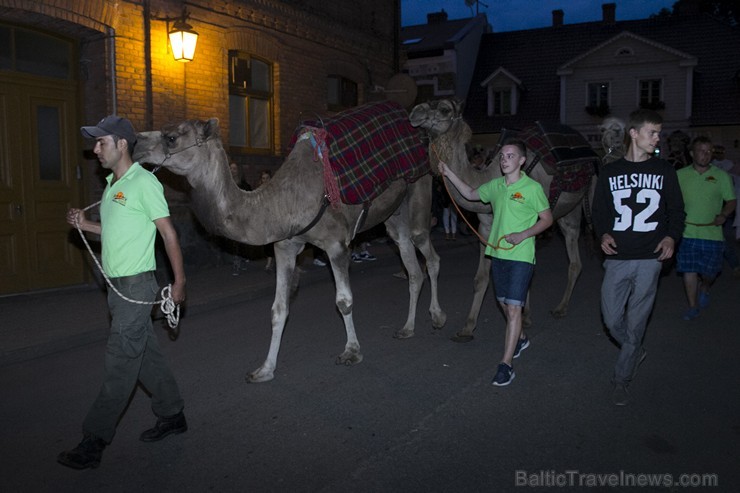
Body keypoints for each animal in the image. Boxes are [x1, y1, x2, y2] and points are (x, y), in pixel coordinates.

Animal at [131, 102, 446, 382]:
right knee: (409, 260)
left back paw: (437, 317)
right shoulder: (285, 246)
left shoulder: (336, 244)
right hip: (394, 212)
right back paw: (407, 327)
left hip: (420, 184)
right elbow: (278, 309)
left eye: (171, 137)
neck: (282, 201)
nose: (135, 144)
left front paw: (352, 352)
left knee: (428, 251)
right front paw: (264, 370)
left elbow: (343, 301)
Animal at [408, 98, 600, 340]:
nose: (415, 112)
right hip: (567, 211)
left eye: (444, 109)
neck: (489, 176)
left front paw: (523, 318)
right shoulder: (485, 226)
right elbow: (481, 278)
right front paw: (467, 328)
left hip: (585, 196)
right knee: (572, 253)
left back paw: (563, 308)